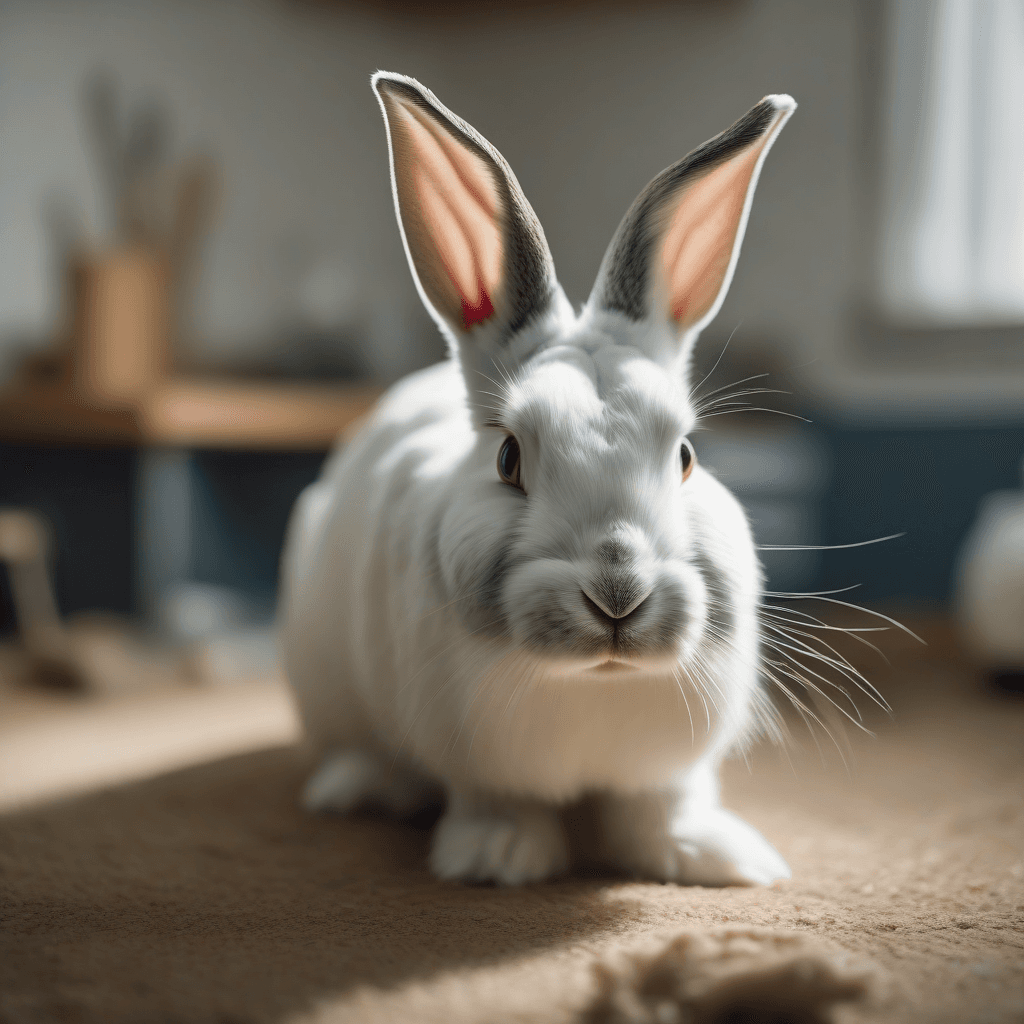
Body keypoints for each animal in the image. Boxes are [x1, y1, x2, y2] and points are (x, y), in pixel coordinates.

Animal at [279, 71, 796, 887]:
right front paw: (499, 859)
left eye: (685, 455)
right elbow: (501, 803)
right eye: (508, 458)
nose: (618, 591)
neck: (593, 685)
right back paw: (355, 786)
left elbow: (658, 809)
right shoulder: (478, 762)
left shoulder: (665, 770)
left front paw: (718, 857)